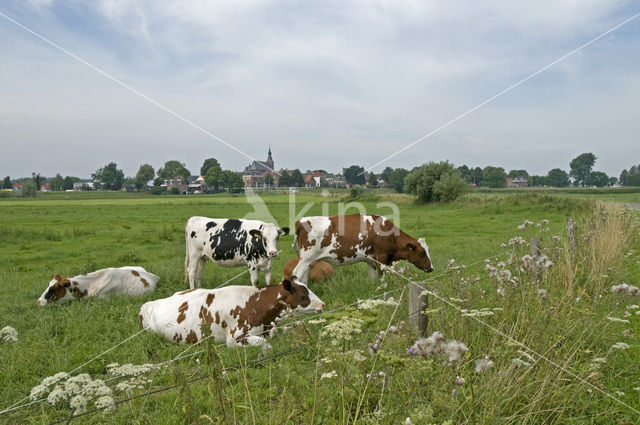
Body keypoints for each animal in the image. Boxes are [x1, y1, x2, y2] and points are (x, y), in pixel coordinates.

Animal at [292, 215, 432, 282]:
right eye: (422, 253)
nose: (431, 268)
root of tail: (301, 220)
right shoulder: (381, 258)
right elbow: (382, 278)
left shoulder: (371, 260)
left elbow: (373, 279)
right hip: (306, 259)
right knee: (296, 274)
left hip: (309, 261)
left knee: (304, 278)